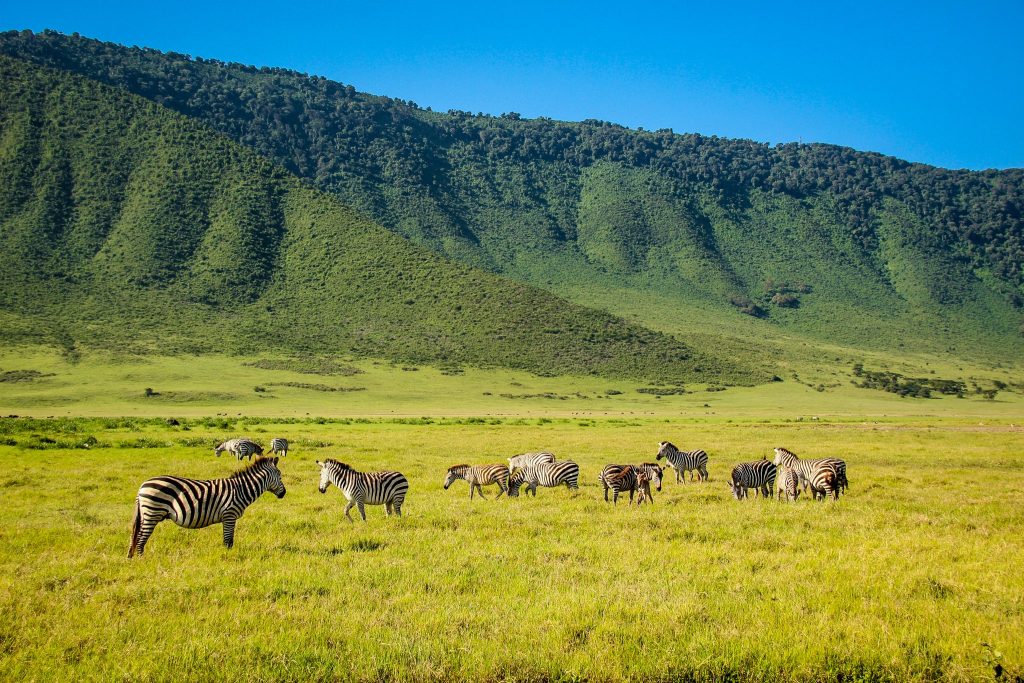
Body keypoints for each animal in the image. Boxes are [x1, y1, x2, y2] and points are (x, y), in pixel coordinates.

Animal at [130, 456, 288, 557]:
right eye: (280, 476)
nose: (284, 493)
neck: (241, 489)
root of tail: (142, 486)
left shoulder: (227, 517)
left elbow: (228, 539)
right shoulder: (229, 515)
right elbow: (228, 540)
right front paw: (228, 557)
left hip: (148, 513)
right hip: (153, 512)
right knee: (141, 537)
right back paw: (142, 559)